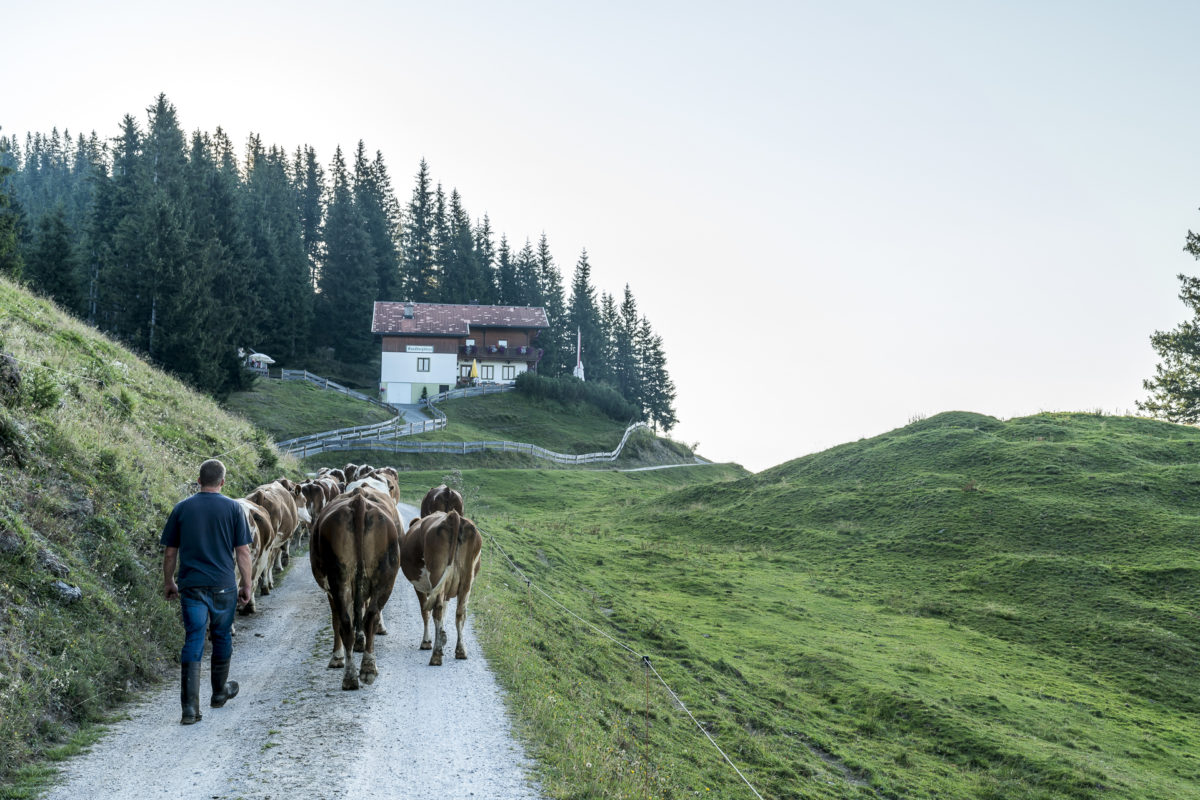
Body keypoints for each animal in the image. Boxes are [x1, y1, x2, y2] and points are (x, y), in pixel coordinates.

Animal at [309, 484, 403, 690]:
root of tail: (358, 501)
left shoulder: (330, 589)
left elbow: (339, 618)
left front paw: (337, 657)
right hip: (384, 578)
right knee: (368, 617)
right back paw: (366, 668)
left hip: (340, 579)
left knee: (346, 620)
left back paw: (352, 674)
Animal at [400, 510, 480, 666]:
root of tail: (452, 516)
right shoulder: (446, 591)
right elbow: (445, 612)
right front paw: (442, 636)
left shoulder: (419, 587)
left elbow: (425, 612)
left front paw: (427, 641)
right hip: (467, 581)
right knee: (460, 612)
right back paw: (461, 651)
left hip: (437, 574)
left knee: (436, 610)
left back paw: (436, 655)